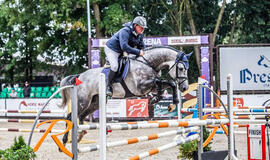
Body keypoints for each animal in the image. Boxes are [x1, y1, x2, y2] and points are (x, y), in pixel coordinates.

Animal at [57, 45, 192, 145]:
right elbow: (167, 82)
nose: (185, 88)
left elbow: (166, 84)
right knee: (70, 117)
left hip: (94, 102)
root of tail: (79, 76)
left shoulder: (151, 85)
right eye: (181, 68)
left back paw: (80, 136)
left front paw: (161, 100)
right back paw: (64, 140)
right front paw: (170, 102)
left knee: (81, 116)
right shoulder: (140, 87)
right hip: (82, 101)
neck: (148, 63)